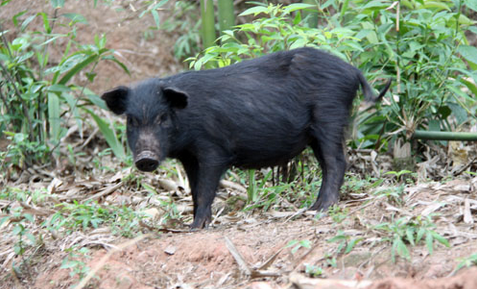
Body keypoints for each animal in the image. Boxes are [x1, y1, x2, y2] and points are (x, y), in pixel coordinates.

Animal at [101, 46, 390, 227]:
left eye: (162, 117)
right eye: (131, 120)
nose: (145, 157)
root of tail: (352, 70)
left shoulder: (213, 149)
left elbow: (206, 188)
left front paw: (196, 227)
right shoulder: (189, 157)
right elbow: (194, 189)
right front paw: (192, 223)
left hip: (329, 117)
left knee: (337, 162)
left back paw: (321, 209)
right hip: (317, 132)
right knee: (329, 164)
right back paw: (313, 206)